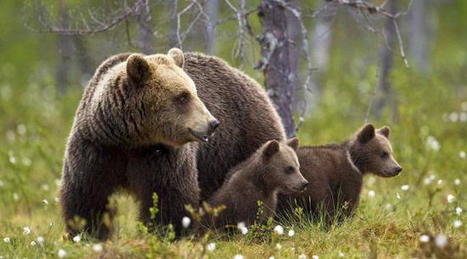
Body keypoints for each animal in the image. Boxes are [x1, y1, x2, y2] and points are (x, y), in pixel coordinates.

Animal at [58, 48, 286, 240]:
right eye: (183, 96)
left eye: (195, 92)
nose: (213, 123)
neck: (133, 139)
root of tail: (246, 77)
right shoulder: (97, 147)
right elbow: (88, 193)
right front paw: (88, 233)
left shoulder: (163, 154)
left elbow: (168, 195)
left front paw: (165, 233)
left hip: (246, 136)